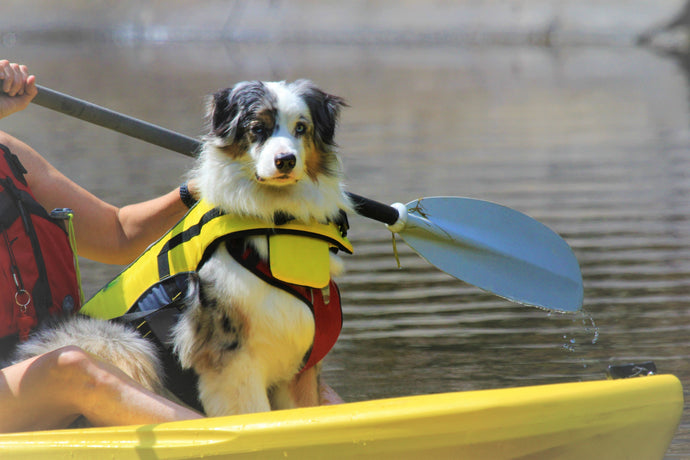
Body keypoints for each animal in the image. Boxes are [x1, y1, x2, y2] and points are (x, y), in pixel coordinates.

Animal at [12, 80, 350, 416]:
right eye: (257, 128)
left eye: (301, 128)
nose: (286, 160)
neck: (276, 221)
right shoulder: (232, 361)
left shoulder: (301, 367)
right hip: (118, 343)